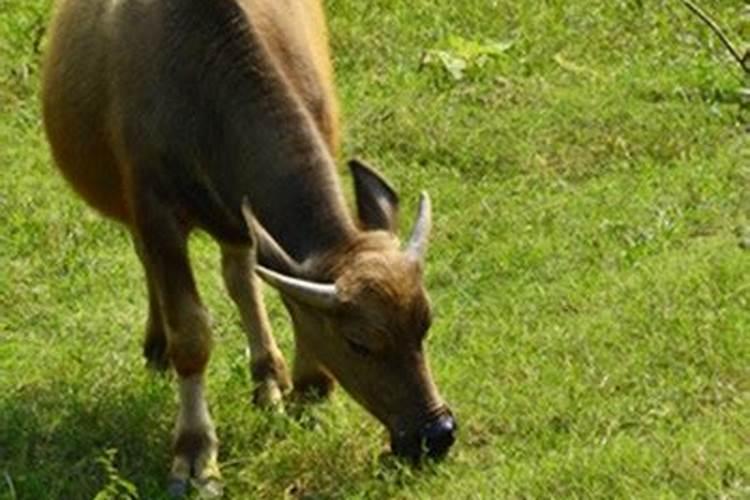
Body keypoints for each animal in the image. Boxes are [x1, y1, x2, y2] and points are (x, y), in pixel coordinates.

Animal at [42, 0, 458, 492]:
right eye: (359, 343)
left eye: (425, 324)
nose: (437, 433)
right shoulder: (154, 210)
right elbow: (191, 333)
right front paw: (195, 453)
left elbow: (288, 294)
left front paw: (308, 388)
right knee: (151, 262)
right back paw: (158, 345)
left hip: (231, 225)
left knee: (240, 276)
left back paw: (268, 377)